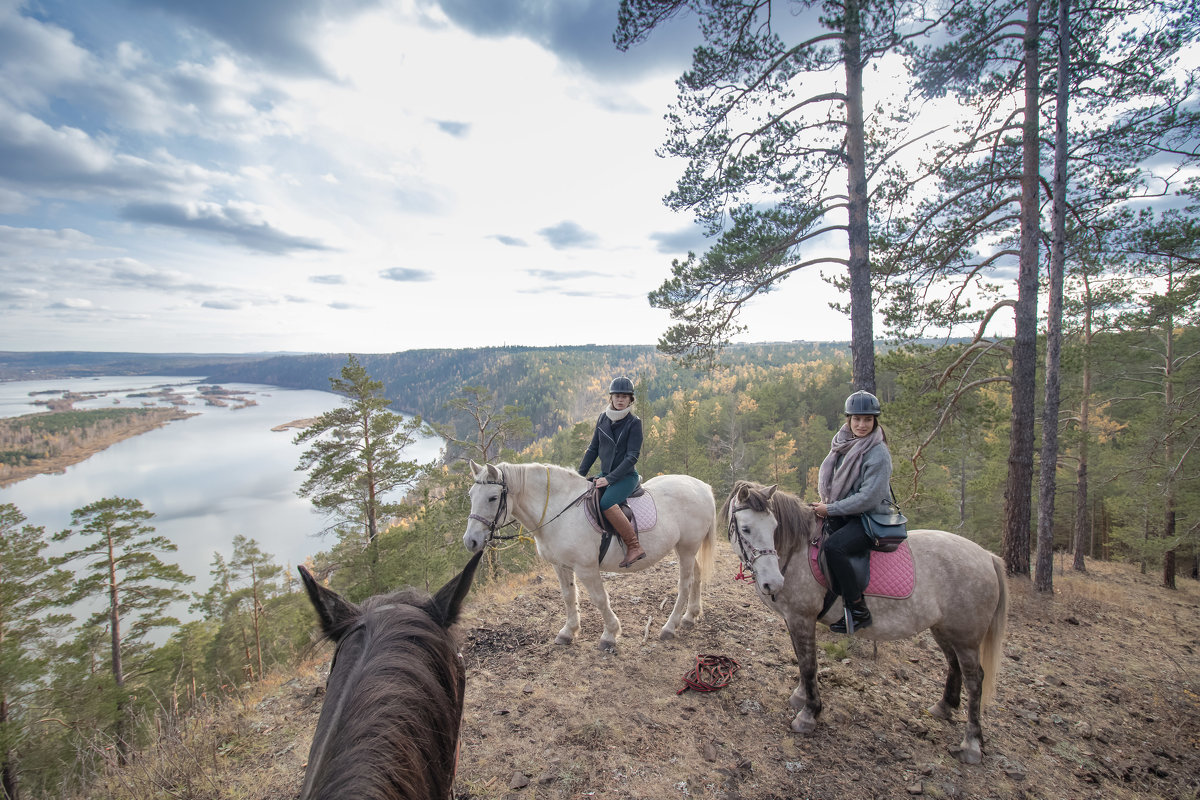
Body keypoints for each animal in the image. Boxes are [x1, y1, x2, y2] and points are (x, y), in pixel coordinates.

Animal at [463, 460, 715, 652]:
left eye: (493, 497)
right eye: (471, 495)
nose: (470, 541)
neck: (559, 511)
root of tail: (702, 486)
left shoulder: (586, 568)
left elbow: (600, 599)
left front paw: (610, 634)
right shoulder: (561, 566)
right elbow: (568, 596)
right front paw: (568, 631)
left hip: (686, 548)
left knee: (685, 584)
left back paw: (670, 627)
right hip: (686, 549)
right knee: (697, 575)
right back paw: (690, 616)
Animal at [724, 482, 1008, 762]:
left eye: (774, 527)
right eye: (747, 529)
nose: (773, 582)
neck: (797, 551)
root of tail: (988, 556)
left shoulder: (802, 617)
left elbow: (808, 664)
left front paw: (809, 713)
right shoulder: (793, 619)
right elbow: (802, 660)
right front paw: (801, 696)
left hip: (967, 637)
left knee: (975, 679)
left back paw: (971, 743)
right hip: (944, 629)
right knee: (953, 664)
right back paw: (944, 706)